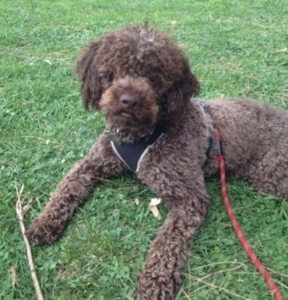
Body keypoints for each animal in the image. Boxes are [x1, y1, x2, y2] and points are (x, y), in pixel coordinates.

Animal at [25, 26, 286, 300]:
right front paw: (43, 223)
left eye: (155, 77)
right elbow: (65, 188)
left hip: (271, 176)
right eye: (115, 69)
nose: (129, 100)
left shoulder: (189, 198)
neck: (140, 135)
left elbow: (167, 243)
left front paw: (155, 281)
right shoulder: (92, 163)